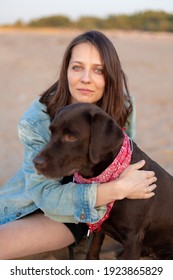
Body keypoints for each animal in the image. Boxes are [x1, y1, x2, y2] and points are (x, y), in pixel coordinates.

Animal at [33, 103, 173, 260]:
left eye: (71, 137)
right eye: (51, 132)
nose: (36, 162)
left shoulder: (133, 237)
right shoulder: (100, 226)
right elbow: (93, 251)